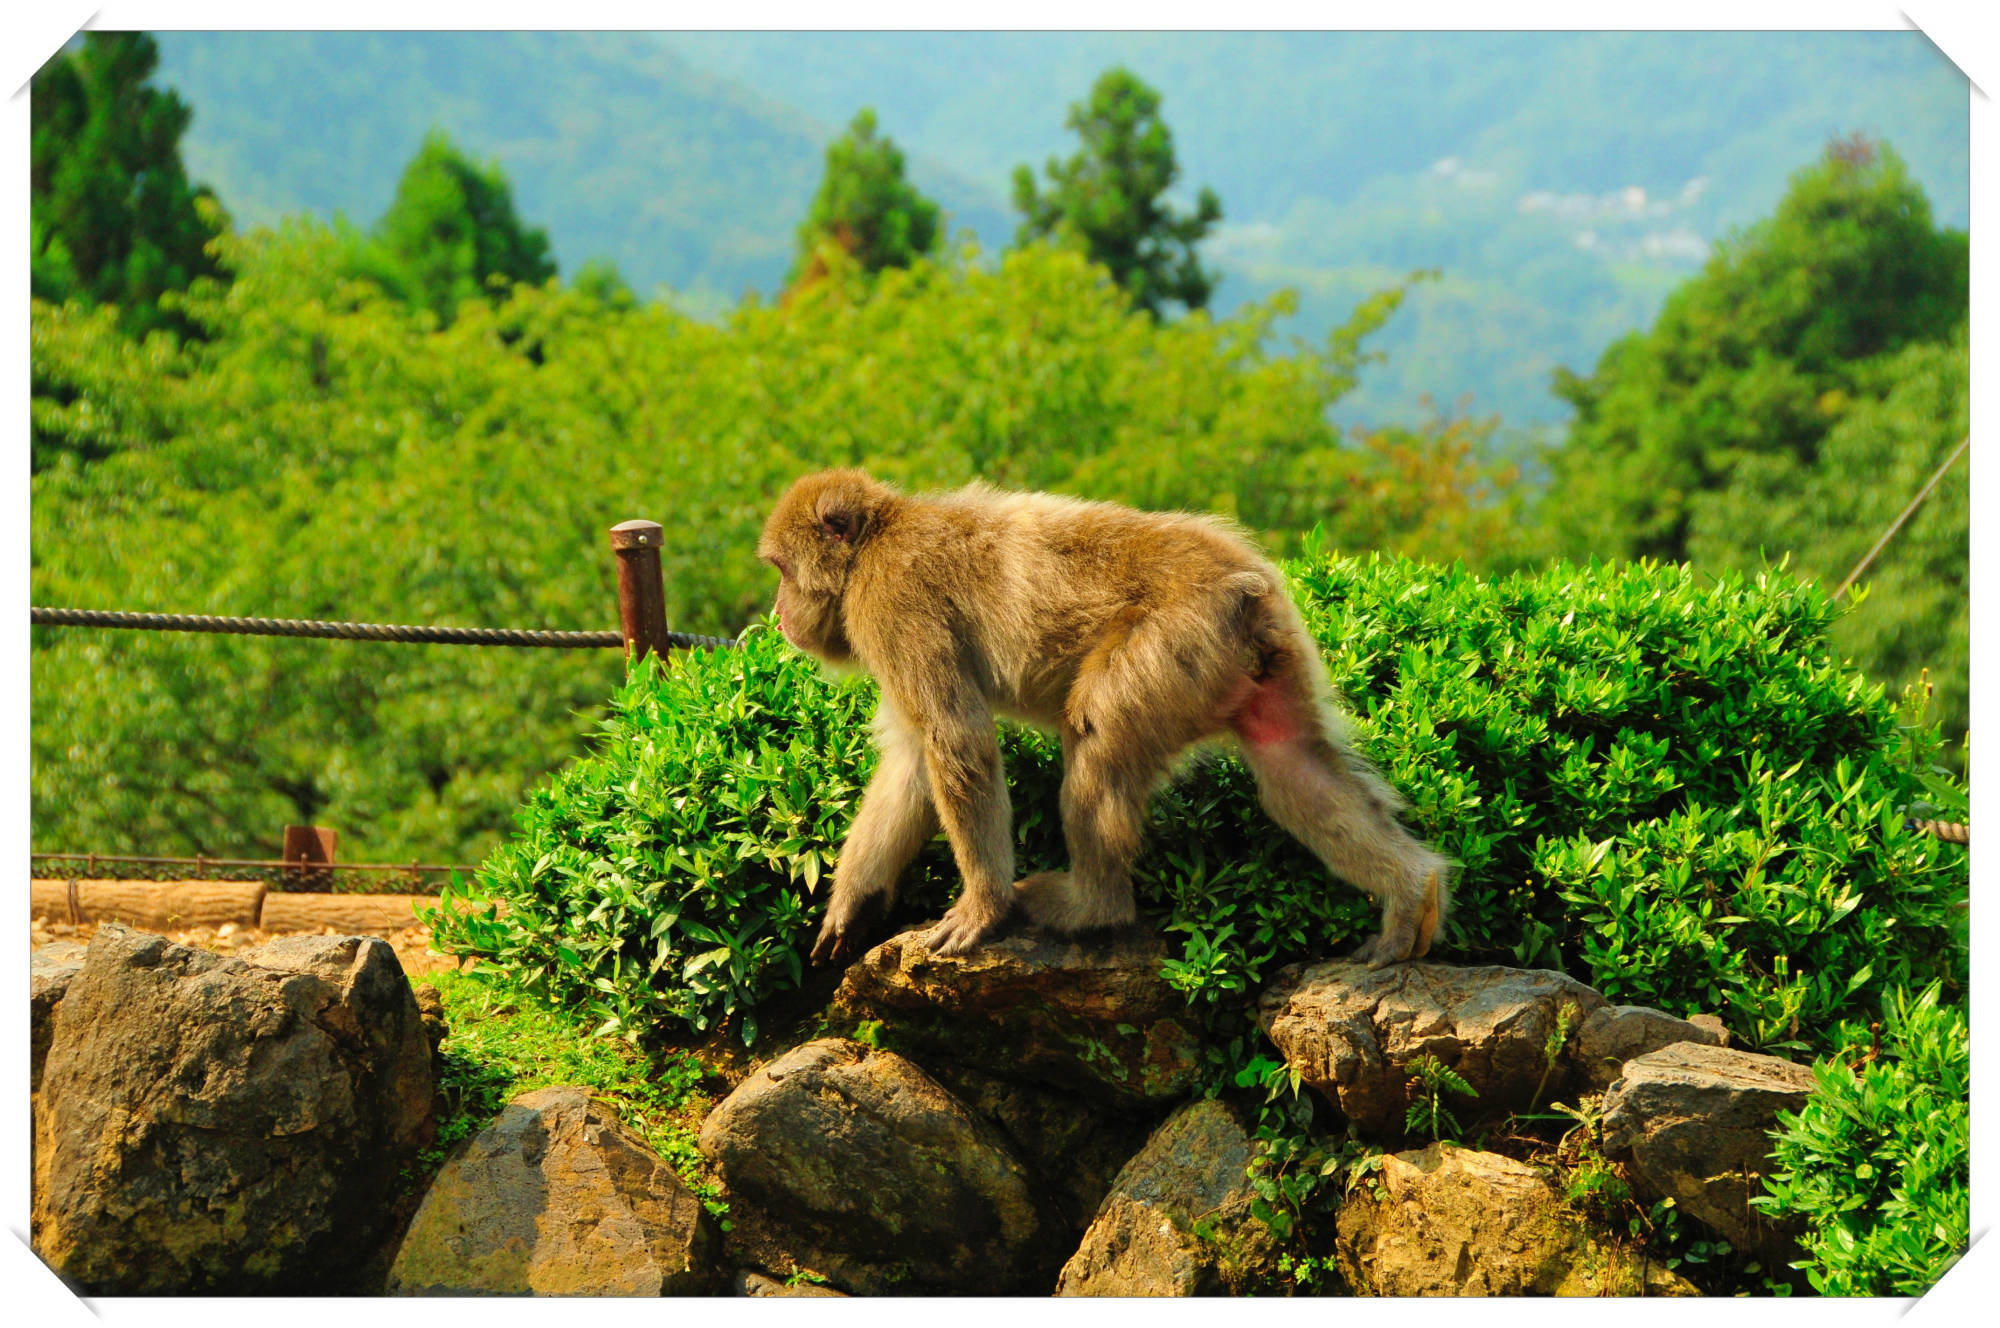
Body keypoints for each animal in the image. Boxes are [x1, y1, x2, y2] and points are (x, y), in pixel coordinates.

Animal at [756, 468, 1451, 967]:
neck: (876, 541)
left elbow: (954, 739)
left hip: (1173, 639)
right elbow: (910, 760)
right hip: (1262, 654)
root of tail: (1247, 586)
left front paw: (982, 908)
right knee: (1290, 764)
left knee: (1094, 729)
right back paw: (1410, 892)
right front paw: (852, 901)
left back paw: (1093, 907)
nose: (779, 613)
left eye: (781, 570)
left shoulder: (892, 600)